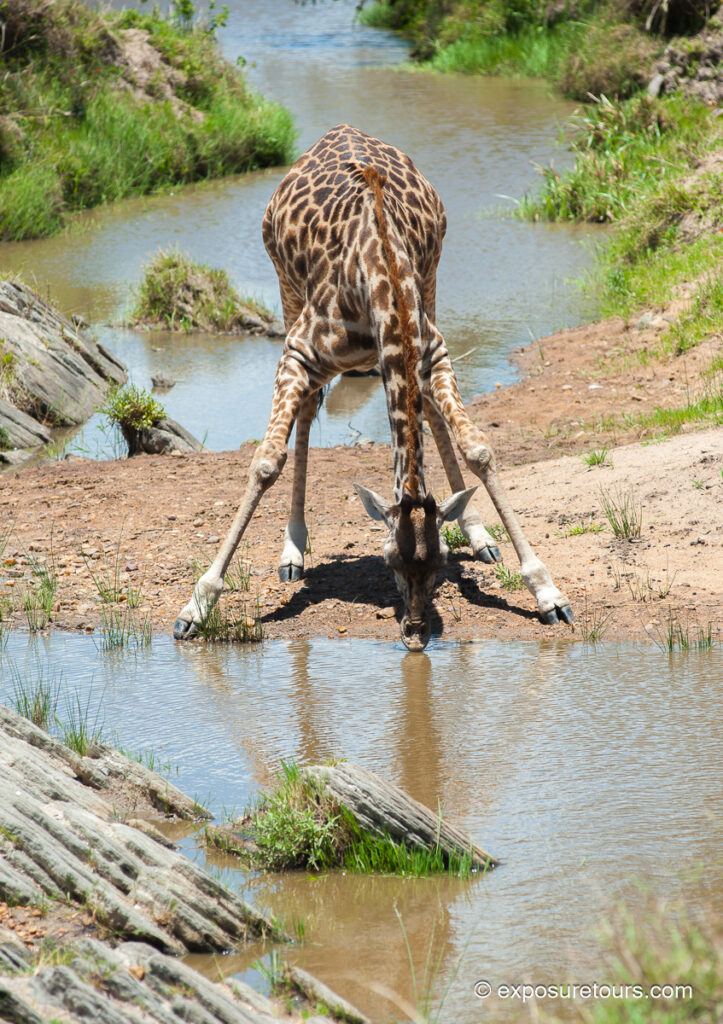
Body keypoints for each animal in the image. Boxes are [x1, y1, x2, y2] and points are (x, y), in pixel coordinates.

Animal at [173, 124, 573, 650]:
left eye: (441, 561)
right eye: (388, 561)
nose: (416, 635)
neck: (380, 275)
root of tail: (337, 131)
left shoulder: (431, 350)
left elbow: (477, 448)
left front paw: (546, 591)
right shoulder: (298, 353)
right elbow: (265, 462)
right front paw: (196, 606)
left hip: (433, 280)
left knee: (427, 409)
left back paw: (480, 534)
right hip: (286, 291)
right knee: (307, 413)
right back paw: (292, 552)